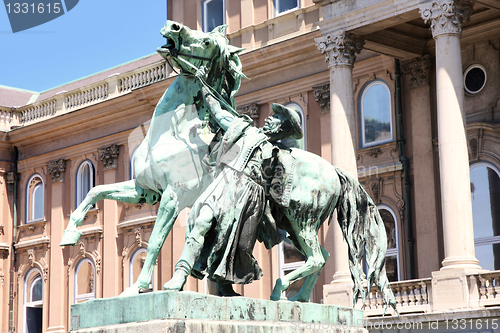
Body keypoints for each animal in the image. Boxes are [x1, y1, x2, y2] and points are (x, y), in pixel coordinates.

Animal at [60, 20, 244, 296]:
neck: (170, 134)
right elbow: (96, 190)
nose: (174, 26)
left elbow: (156, 240)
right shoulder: (144, 190)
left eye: (207, 42)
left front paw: (139, 285)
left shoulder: (173, 196)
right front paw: (70, 232)